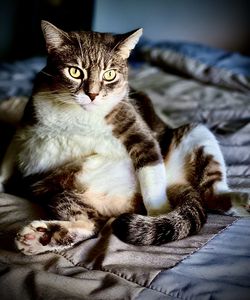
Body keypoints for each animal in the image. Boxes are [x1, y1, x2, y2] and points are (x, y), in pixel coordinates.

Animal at [1, 20, 248, 255]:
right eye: (75, 72)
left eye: (109, 74)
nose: (92, 94)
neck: (79, 115)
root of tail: (174, 184)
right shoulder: (25, 126)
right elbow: (8, 159)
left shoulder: (139, 133)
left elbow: (151, 176)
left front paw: (158, 215)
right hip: (58, 191)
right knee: (91, 224)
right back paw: (38, 238)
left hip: (197, 133)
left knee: (211, 193)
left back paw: (241, 201)